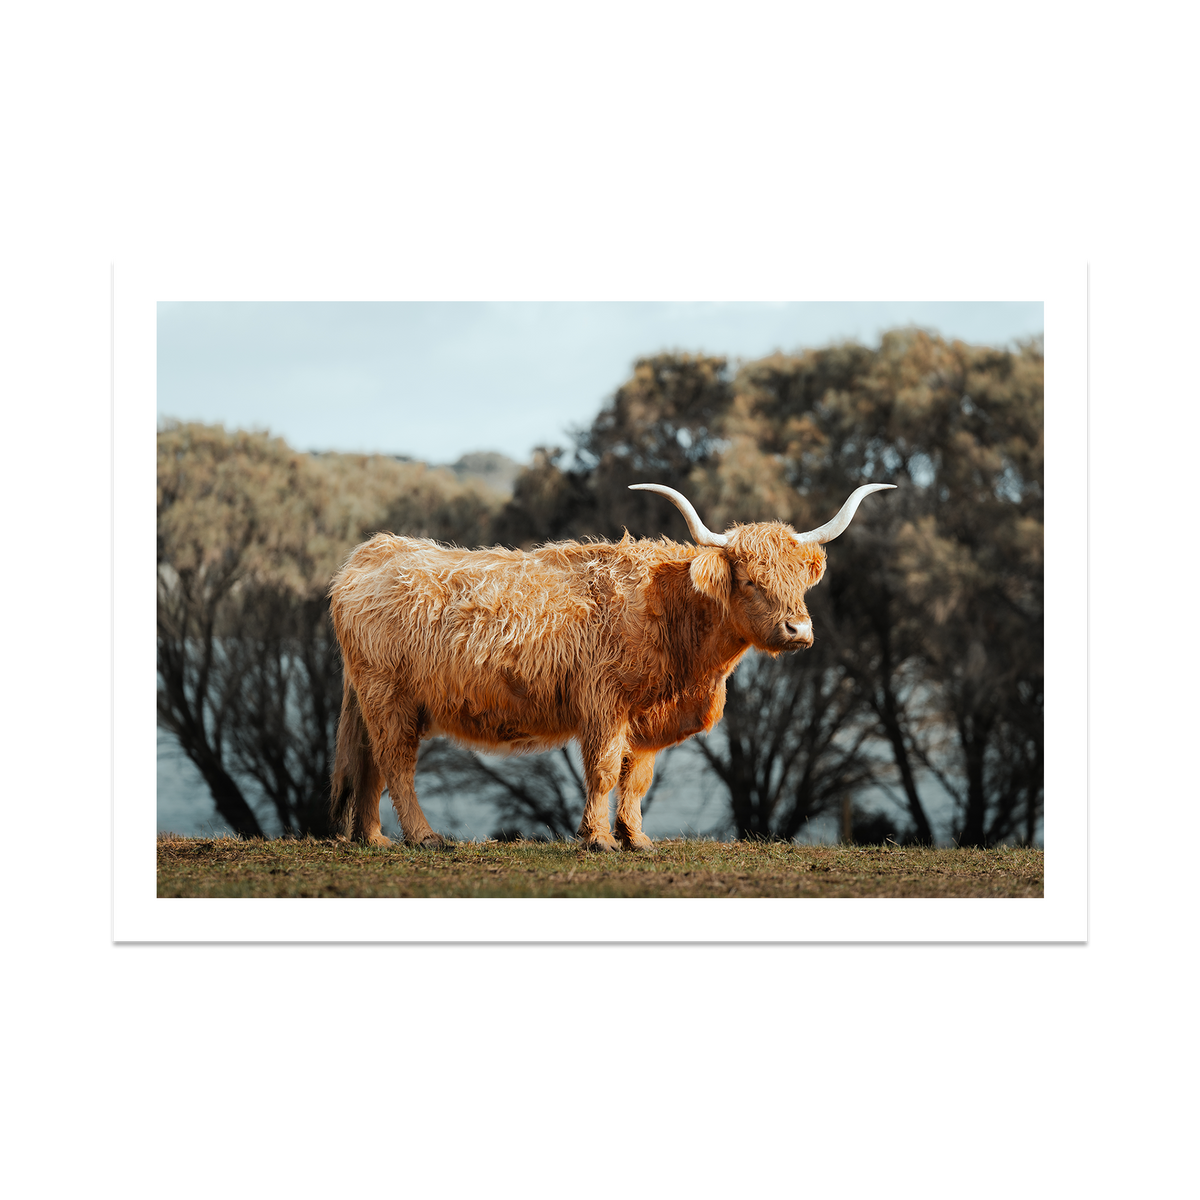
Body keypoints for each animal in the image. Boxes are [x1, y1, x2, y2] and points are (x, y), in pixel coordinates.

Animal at [329, 482, 894, 851]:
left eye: (799, 580)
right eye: (752, 581)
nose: (798, 630)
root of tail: (372, 551)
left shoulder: (645, 716)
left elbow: (636, 777)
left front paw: (636, 838)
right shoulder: (604, 703)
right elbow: (602, 771)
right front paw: (598, 839)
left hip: (376, 701)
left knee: (371, 764)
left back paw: (374, 839)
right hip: (390, 697)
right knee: (396, 763)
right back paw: (424, 837)